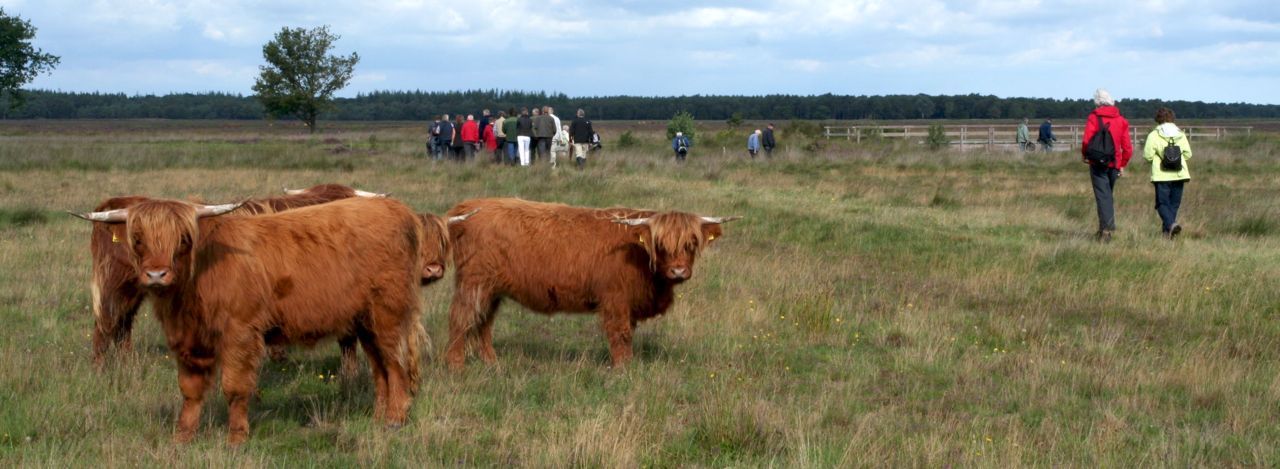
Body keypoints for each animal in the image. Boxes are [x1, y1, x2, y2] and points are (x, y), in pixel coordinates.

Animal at [85, 183, 373, 366]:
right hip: (115, 285)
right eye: (138, 239)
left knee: (122, 325)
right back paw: (101, 369)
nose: (157, 272)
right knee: (106, 325)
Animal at [445, 197, 737, 369]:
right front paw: (623, 369)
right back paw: (456, 364)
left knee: (483, 321)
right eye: (661, 245)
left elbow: (628, 333)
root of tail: (468, 207)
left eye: (691, 243)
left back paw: (491, 362)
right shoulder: (615, 299)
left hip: (491, 289)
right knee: (461, 318)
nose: (678, 271)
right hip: (474, 283)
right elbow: (620, 333)